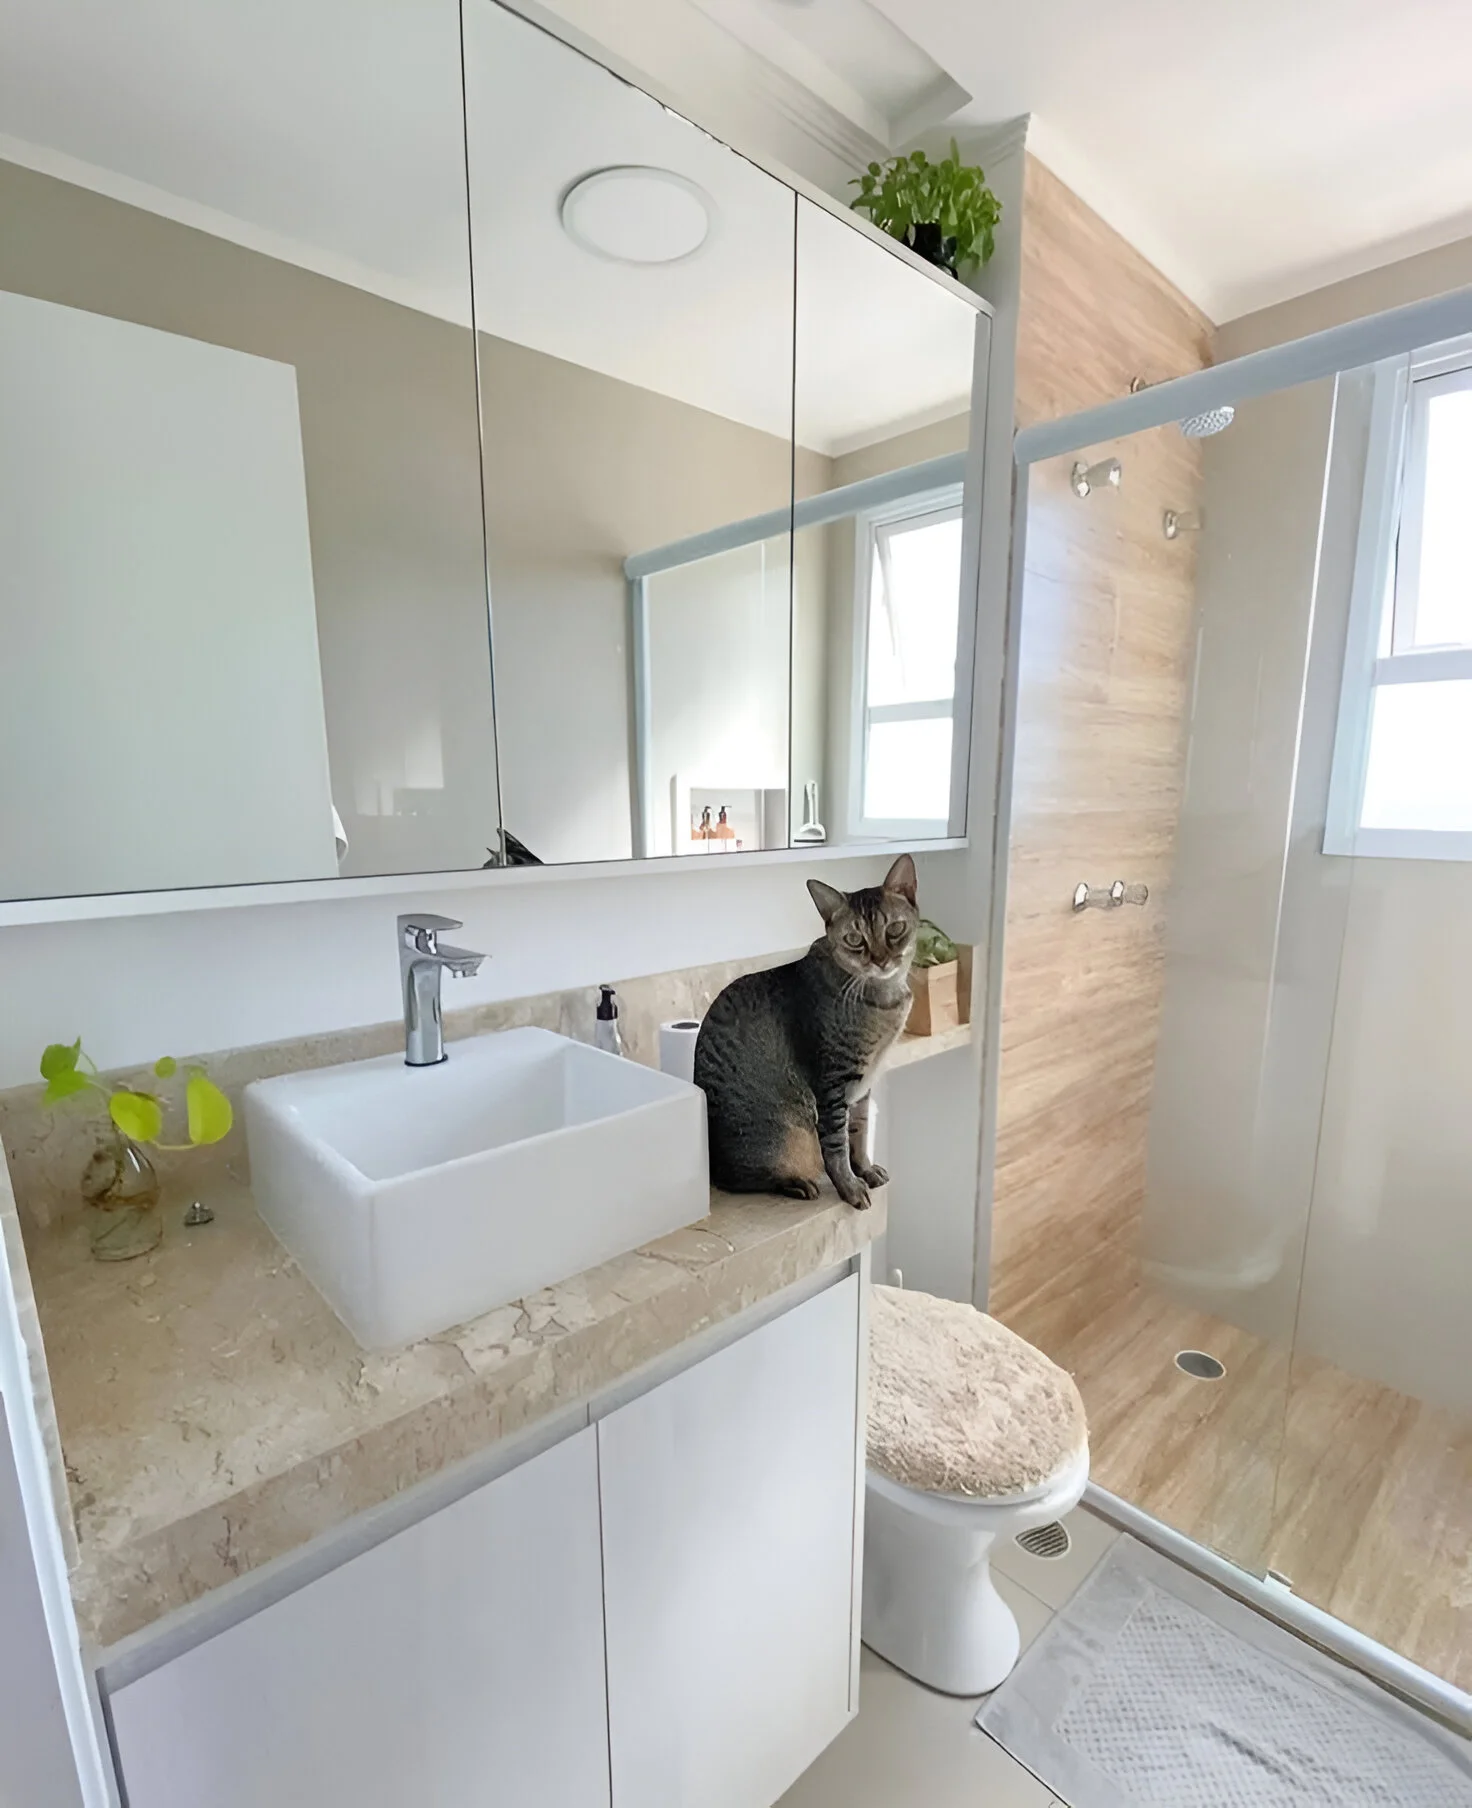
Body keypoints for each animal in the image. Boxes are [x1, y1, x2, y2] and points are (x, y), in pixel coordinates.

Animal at [694, 853, 922, 1207]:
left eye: (895, 929)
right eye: (855, 939)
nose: (881, 960)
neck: (884, 998)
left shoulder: (862, 1086)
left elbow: (860, 1133)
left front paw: (865, 1170)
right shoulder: (832, 1082)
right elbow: (837, 1146)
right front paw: (850, 1187)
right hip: (787, 1136)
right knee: (741, 1179)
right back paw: (797, 1183)